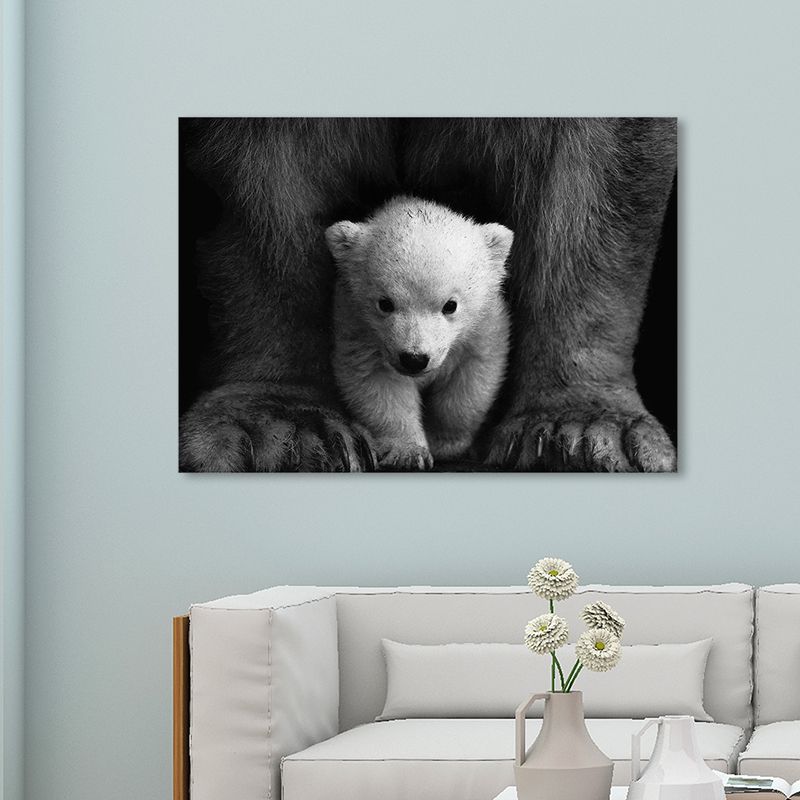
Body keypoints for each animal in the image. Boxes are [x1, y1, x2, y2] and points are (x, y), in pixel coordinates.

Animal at [325, 196, 513, 470]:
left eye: (450, 305)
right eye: (385, 303)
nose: (414, 359)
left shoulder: (483, 327)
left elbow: (470, 382)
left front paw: (444, 443)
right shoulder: (358, 329)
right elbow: (379, 385)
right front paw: (408, 452)